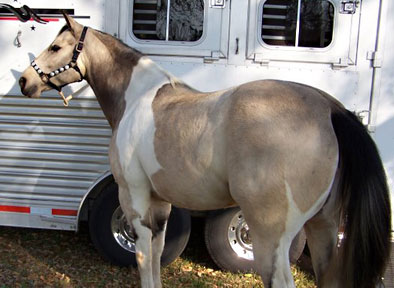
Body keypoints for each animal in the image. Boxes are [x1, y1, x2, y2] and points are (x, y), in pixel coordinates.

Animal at [18, 14, 390, 288]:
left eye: (56, 46)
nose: (24, 82)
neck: (136, 97)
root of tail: (330, 109)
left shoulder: (133, 197)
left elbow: (141, 255)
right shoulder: (160, 203)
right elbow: (155, 253)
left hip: (271, 238)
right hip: (323, 228)